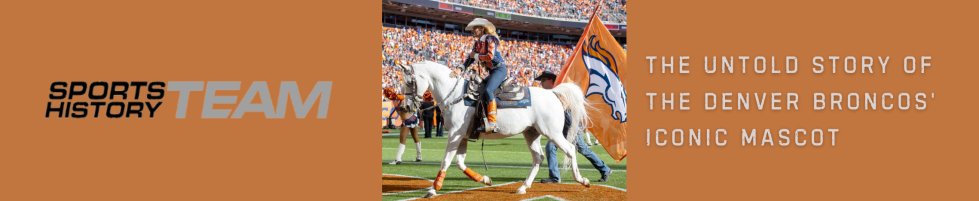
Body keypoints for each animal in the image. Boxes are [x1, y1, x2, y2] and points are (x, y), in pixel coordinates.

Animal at [396, 60, 588, 197]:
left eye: (410, 82)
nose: (405, 107)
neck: (455, 95)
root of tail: (553, 93)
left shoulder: (455, 135)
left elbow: (447, 161)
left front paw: (433, 189)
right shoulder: (462, 137)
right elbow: (460, 163)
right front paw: (485, 179)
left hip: (552, 133)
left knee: (570, 149)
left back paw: (582, 180)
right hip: (531, 133)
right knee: (538, 158)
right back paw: (523, 187)